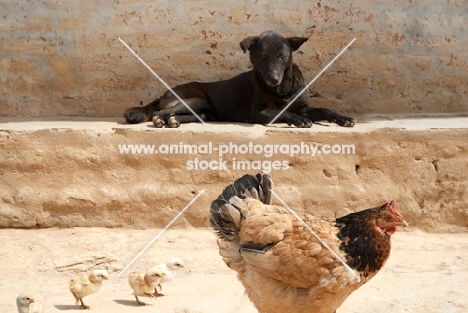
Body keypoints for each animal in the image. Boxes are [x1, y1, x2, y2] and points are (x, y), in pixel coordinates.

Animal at [124, 30, 354, 128]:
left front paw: (343, 118)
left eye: (282, 56)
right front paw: (299, 121)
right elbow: (283, 113)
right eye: (263, 56)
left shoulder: (303, 106)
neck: (282, 90)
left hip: (204, 111)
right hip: (194, 99)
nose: (274, 79)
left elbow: (324, 110)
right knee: (157, 112)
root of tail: (164, 92)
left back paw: (173, 121)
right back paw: (162, 119)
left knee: (192, 116)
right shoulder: (258, 113)